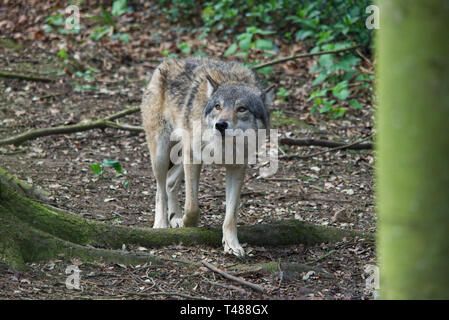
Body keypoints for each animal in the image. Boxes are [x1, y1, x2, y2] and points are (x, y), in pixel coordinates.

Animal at [140, 57, 272, 258]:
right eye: (218, 106)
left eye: (242, 108)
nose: (220, 125)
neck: (223, 146)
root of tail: (167, 62)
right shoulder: (193, 158)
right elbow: (192, 206)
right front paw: (187, 224)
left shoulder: (236, 169)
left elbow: (231, 215)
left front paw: (232, 245)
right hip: (162, 155)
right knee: (160, 188)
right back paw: (161, 224)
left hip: (180, 157)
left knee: (170, 182)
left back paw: (174, 217)